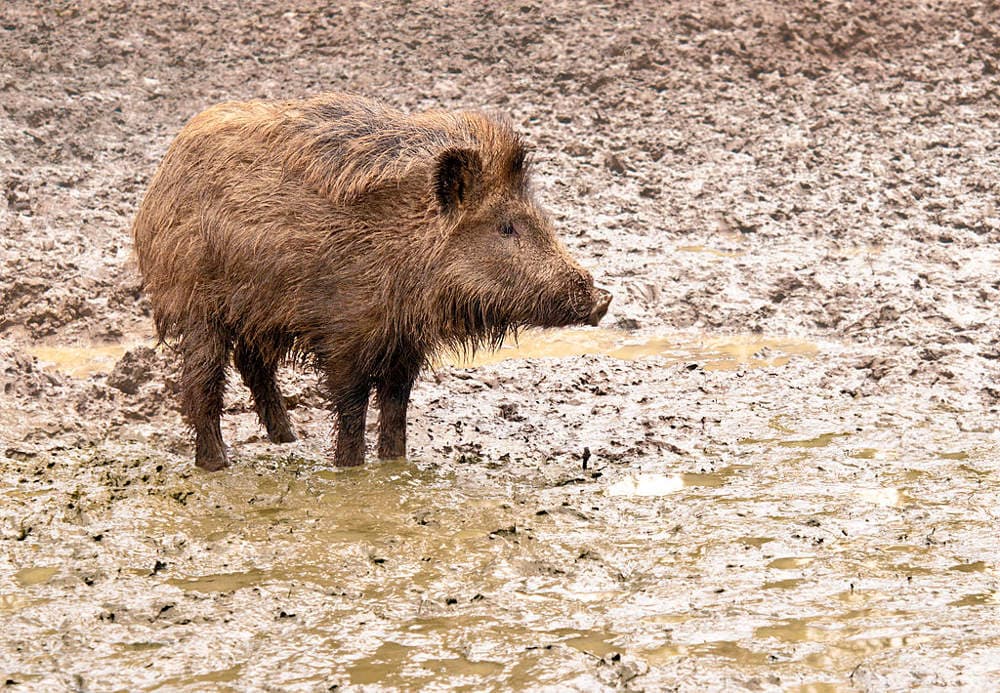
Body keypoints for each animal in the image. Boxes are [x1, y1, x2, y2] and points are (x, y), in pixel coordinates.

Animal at [132, 93, 611, 470]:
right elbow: (351, 407)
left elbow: (396, 406)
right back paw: (216, 464)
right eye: (506, 227)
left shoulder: (404, 344)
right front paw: (351, 470)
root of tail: (162, 175)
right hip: (197, 304)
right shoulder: (345, 336)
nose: (602, 298)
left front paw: (395, 464)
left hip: (259, 313)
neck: (406, 246)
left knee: (252, 364)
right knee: (202, 381)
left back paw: (288, 439)